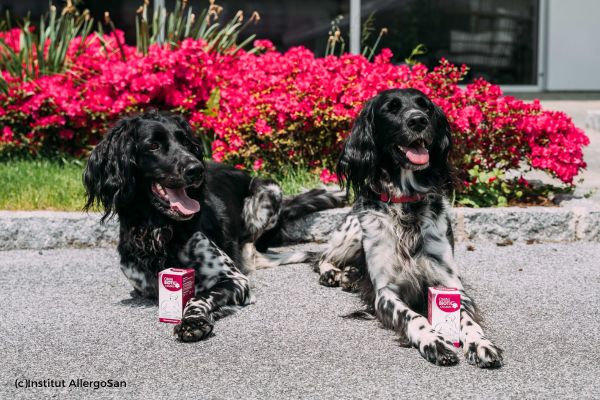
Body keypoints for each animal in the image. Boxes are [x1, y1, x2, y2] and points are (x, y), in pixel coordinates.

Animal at [83, 109, 342, 340]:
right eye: (153, 145)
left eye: (186, 142)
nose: (196, 169)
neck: (160, 231)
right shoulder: (143, 286)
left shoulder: (235, 279)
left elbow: (197, 297)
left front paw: (193, 322)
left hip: (268, 191)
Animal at [316, 89, 504, 368]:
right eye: (391, 108)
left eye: (425, 107)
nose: (418, 121)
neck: (406, 205)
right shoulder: (385, 292)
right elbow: (413, 317)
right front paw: (433, 341)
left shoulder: (450, 284)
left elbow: (467, 319)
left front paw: (481, 343)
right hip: (353, 229)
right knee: (321, 256)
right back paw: (333, 273)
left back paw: (349, 275)